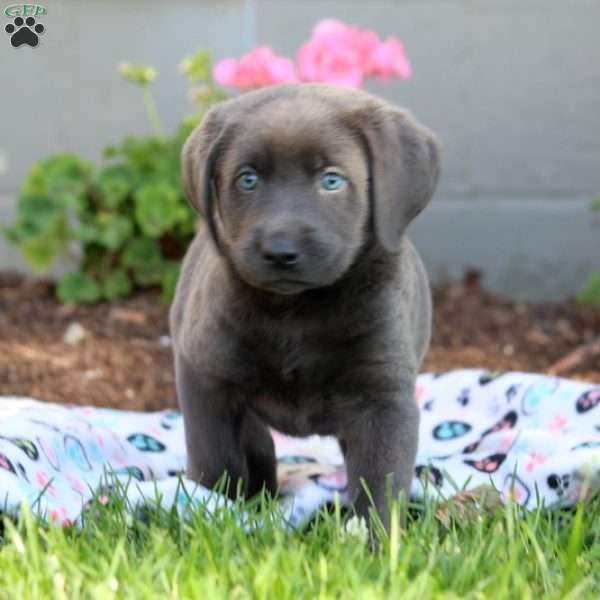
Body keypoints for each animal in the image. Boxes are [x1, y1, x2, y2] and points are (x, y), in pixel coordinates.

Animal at [170, 82, 440, 532]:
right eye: (248, 180)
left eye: (332, 181)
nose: (281, 251)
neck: (295, 311)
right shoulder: (206, 378)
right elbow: (215, 460)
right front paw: (212, 516)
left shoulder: (383, 397)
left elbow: (380, 481)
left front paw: (377, 541)